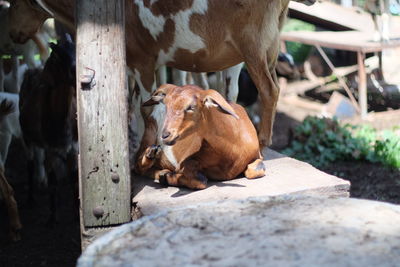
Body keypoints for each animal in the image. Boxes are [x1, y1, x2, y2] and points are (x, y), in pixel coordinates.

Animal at [135, 84, 266, 191]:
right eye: (166, 105)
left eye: (191, 107)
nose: (165, 135)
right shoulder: (187, 162)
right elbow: (200, 180)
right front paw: (166, 177)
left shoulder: (258, 155)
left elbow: (257, 171)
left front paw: (165, 176)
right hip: (149, 132)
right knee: (137, 165)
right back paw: (152, 156)